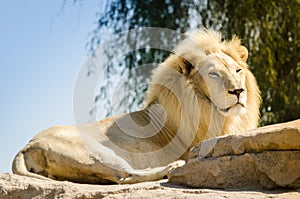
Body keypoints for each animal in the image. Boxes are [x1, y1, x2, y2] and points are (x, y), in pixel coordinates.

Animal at [11, 29, 260, 185]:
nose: (238, 91)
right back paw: (172, 167)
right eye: (213, 74)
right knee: (125, 176)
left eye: (237, 70)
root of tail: (27, 146)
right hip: (99, 153)